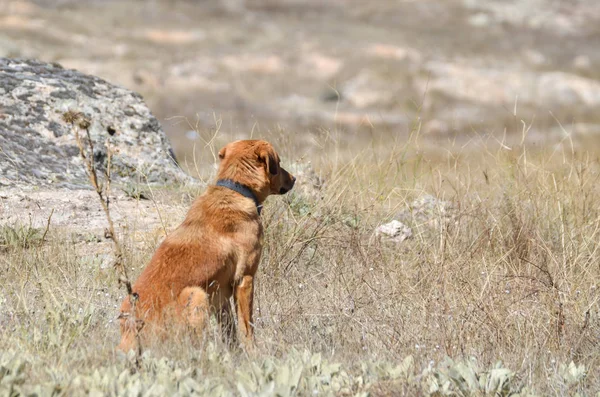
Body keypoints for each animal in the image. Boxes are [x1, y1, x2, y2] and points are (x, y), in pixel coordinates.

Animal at [118, 138, 296, 350]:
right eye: (279, 162)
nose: (294, 178)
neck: (236, 189)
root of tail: (131, 333)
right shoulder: (244, 279)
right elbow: (247, 329)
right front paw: (253, 352)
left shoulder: (220, 296)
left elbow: (230, 333)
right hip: (196, 294)